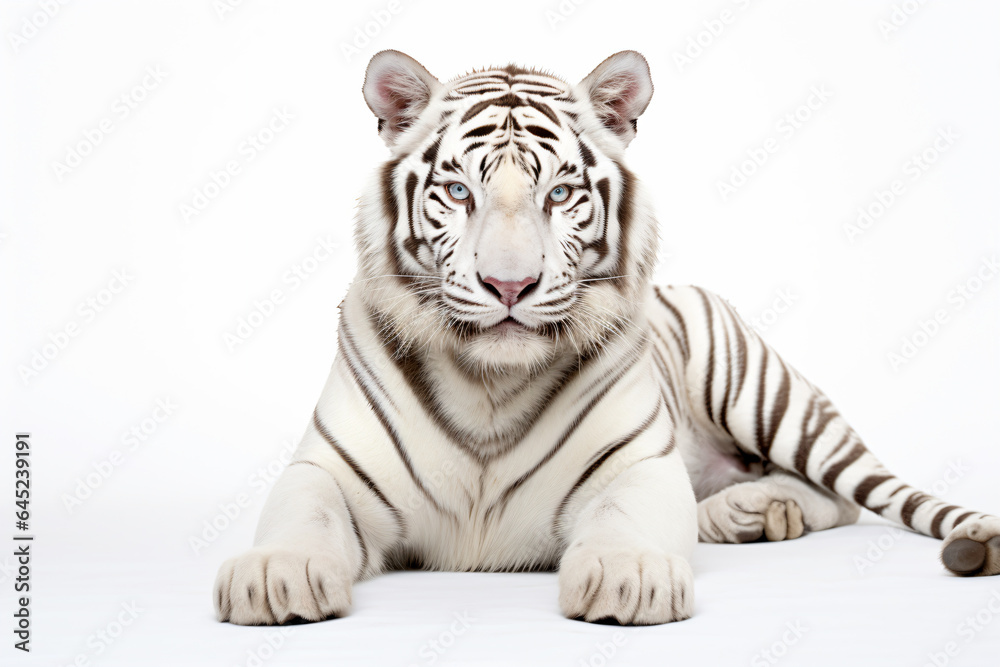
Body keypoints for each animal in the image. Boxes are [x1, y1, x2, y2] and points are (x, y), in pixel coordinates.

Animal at [214, 49, 1000, 626]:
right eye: (460, 192)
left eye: (559, 194)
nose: (508, 286)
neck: (487, 386)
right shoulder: (327, 467)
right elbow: (302, 513)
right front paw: (274, 575)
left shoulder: (636, 465)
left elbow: (624, 517)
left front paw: (630, 577)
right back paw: (748, 512)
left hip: (766, 399)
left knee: (858, 490)